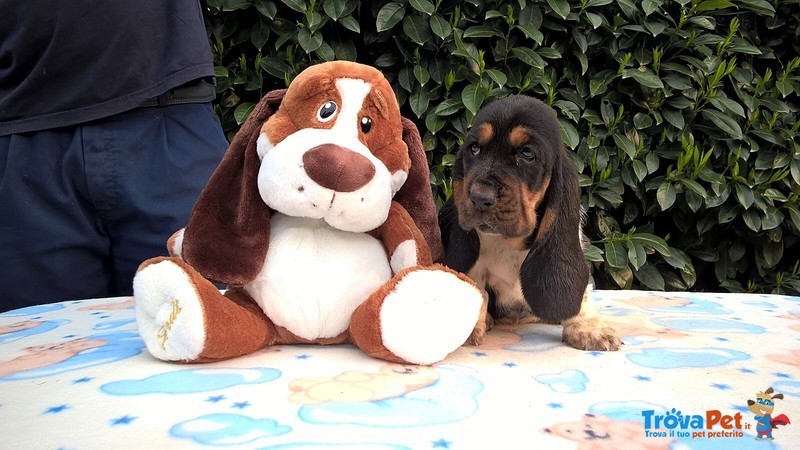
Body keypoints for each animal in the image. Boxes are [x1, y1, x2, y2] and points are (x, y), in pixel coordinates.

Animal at [440, 96, 620, 352]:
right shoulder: (474, 264)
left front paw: (588, 328)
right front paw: (472, 324)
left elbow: (582, 296)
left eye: (527, 153)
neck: (510, 242)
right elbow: (479, 289)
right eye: (474, 148)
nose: (479, 197)